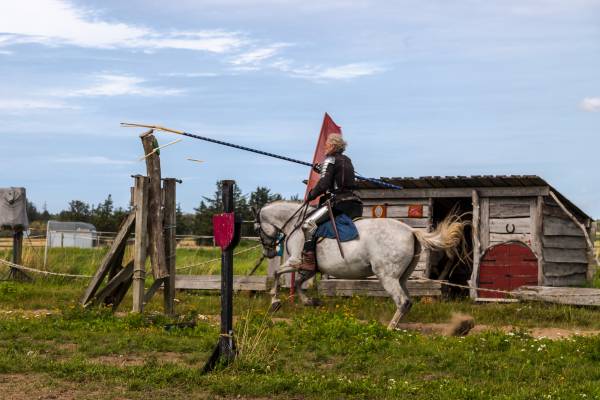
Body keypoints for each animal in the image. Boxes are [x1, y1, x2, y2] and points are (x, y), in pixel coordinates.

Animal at [255, 202, 466, 330]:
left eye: (258, 229)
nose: (269, 253)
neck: (296, 225)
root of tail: (410, 230)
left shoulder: (296, 261)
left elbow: (276, 273)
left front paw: (275, 302)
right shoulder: (308, 268)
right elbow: (299, 283)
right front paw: (310, 302)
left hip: (387, 277)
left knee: (402, 301)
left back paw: (389, 329)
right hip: (402, 277)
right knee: (407, 301)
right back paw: (396, 326)